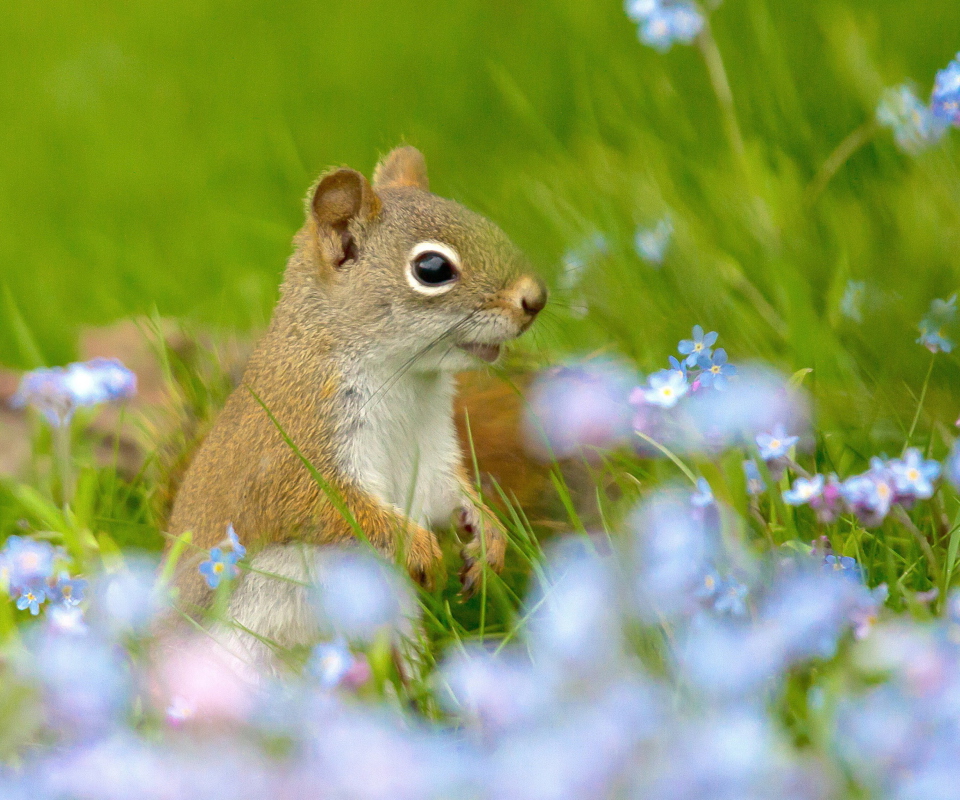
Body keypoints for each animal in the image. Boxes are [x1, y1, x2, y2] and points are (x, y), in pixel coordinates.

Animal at [165, 145, 548, 656]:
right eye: (432, 269)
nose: (536, 299)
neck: (406, 380)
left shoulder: (430, 451)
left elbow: (447, 491)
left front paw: (488, 538)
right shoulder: (296, 444)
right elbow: (329, 507)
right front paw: (421, 550)